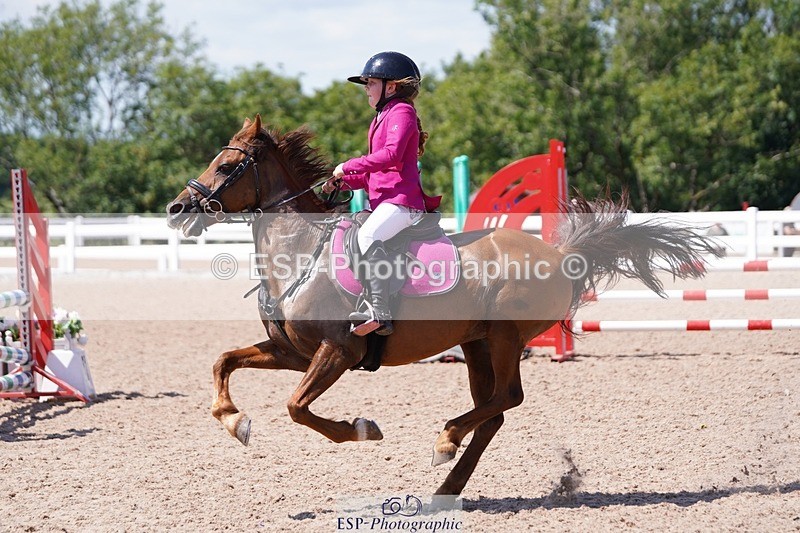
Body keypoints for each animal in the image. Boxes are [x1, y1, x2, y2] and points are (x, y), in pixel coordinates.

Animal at [166, 114, 721, 496]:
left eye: (227, 165)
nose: (176, 209)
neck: (301, 251)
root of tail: (561, 254)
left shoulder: (337, 352)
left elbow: (297, 407)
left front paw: (362, 430)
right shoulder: (293, 354)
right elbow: (224, 362)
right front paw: (234, 421)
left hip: (504, 337)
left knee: (505, 400)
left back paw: (446, 440)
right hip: (477, 343)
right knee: (493, 411)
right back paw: (447, 484)